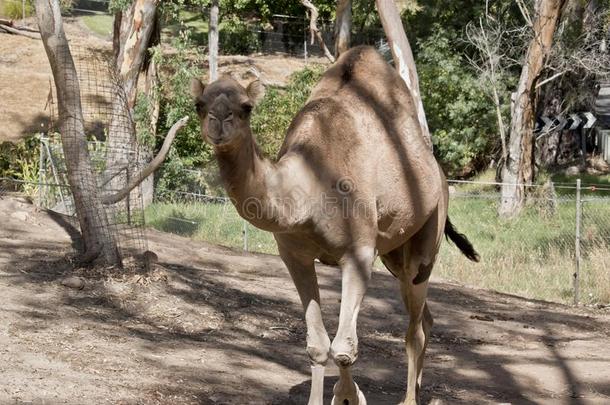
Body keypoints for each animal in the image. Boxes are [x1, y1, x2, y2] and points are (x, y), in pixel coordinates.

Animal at [190, 45, 476, 402]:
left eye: (246, 107)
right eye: (199, 105)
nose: (219, 121)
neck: (311, 187)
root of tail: (439, 173)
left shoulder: (359, 253)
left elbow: (343, 348)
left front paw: (349, 397)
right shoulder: (293, 255)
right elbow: (317, 345)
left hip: (428, 234)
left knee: (415, 327)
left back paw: (409, 398)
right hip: (394, 253)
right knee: (425, 318)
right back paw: (419, 387)